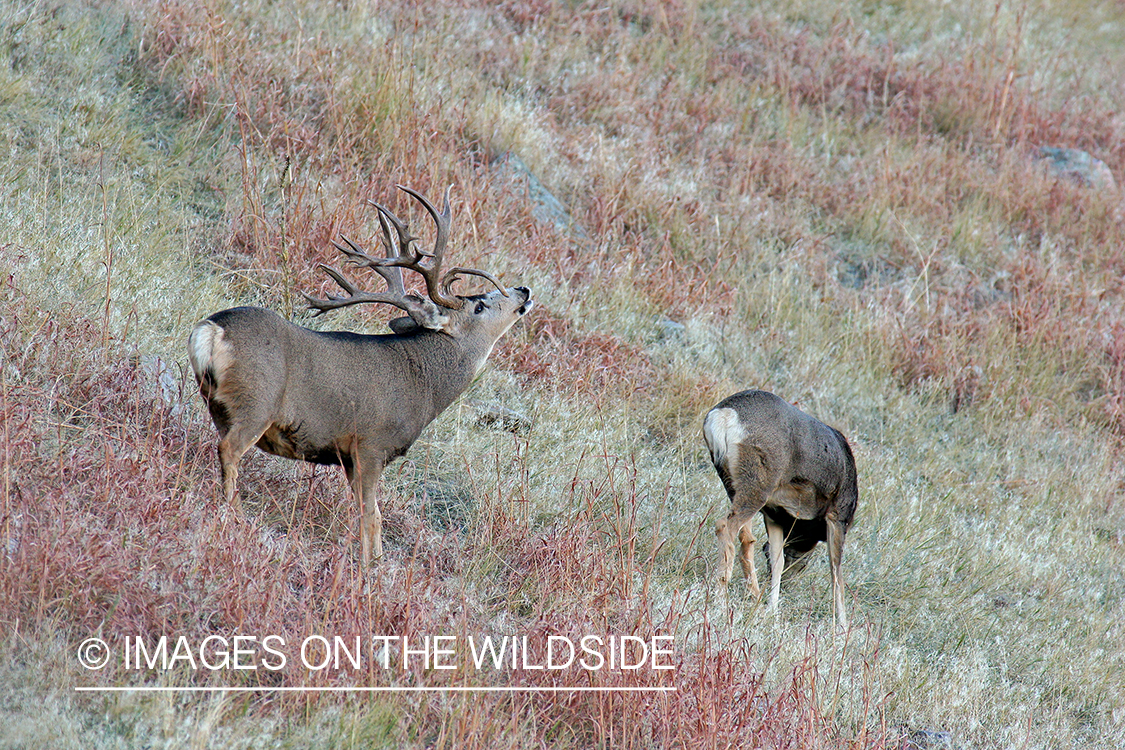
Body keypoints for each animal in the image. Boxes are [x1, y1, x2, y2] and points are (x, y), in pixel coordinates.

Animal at [188, 185, 533, 565]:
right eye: (479, 305)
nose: (523, 290)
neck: (424, 384)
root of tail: (212, 329)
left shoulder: (350, 458)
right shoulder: (370, 444)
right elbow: (372, 514)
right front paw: (372, 565)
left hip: (218, 403)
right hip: (257, 401)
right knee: (229, 449)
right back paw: (236, 515)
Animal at [702, 389, 858, 630]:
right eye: (804, 564)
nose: (788, 583)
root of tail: (723, 414)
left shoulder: (775, 516)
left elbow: (777, 560)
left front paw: (772, 611)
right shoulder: (837, 517)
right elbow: (836, 574)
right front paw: (841, 626)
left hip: (733, 483)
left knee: (745, 537)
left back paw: (752, 597)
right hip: (758, 485)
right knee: (725, 527)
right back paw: (721, 599)